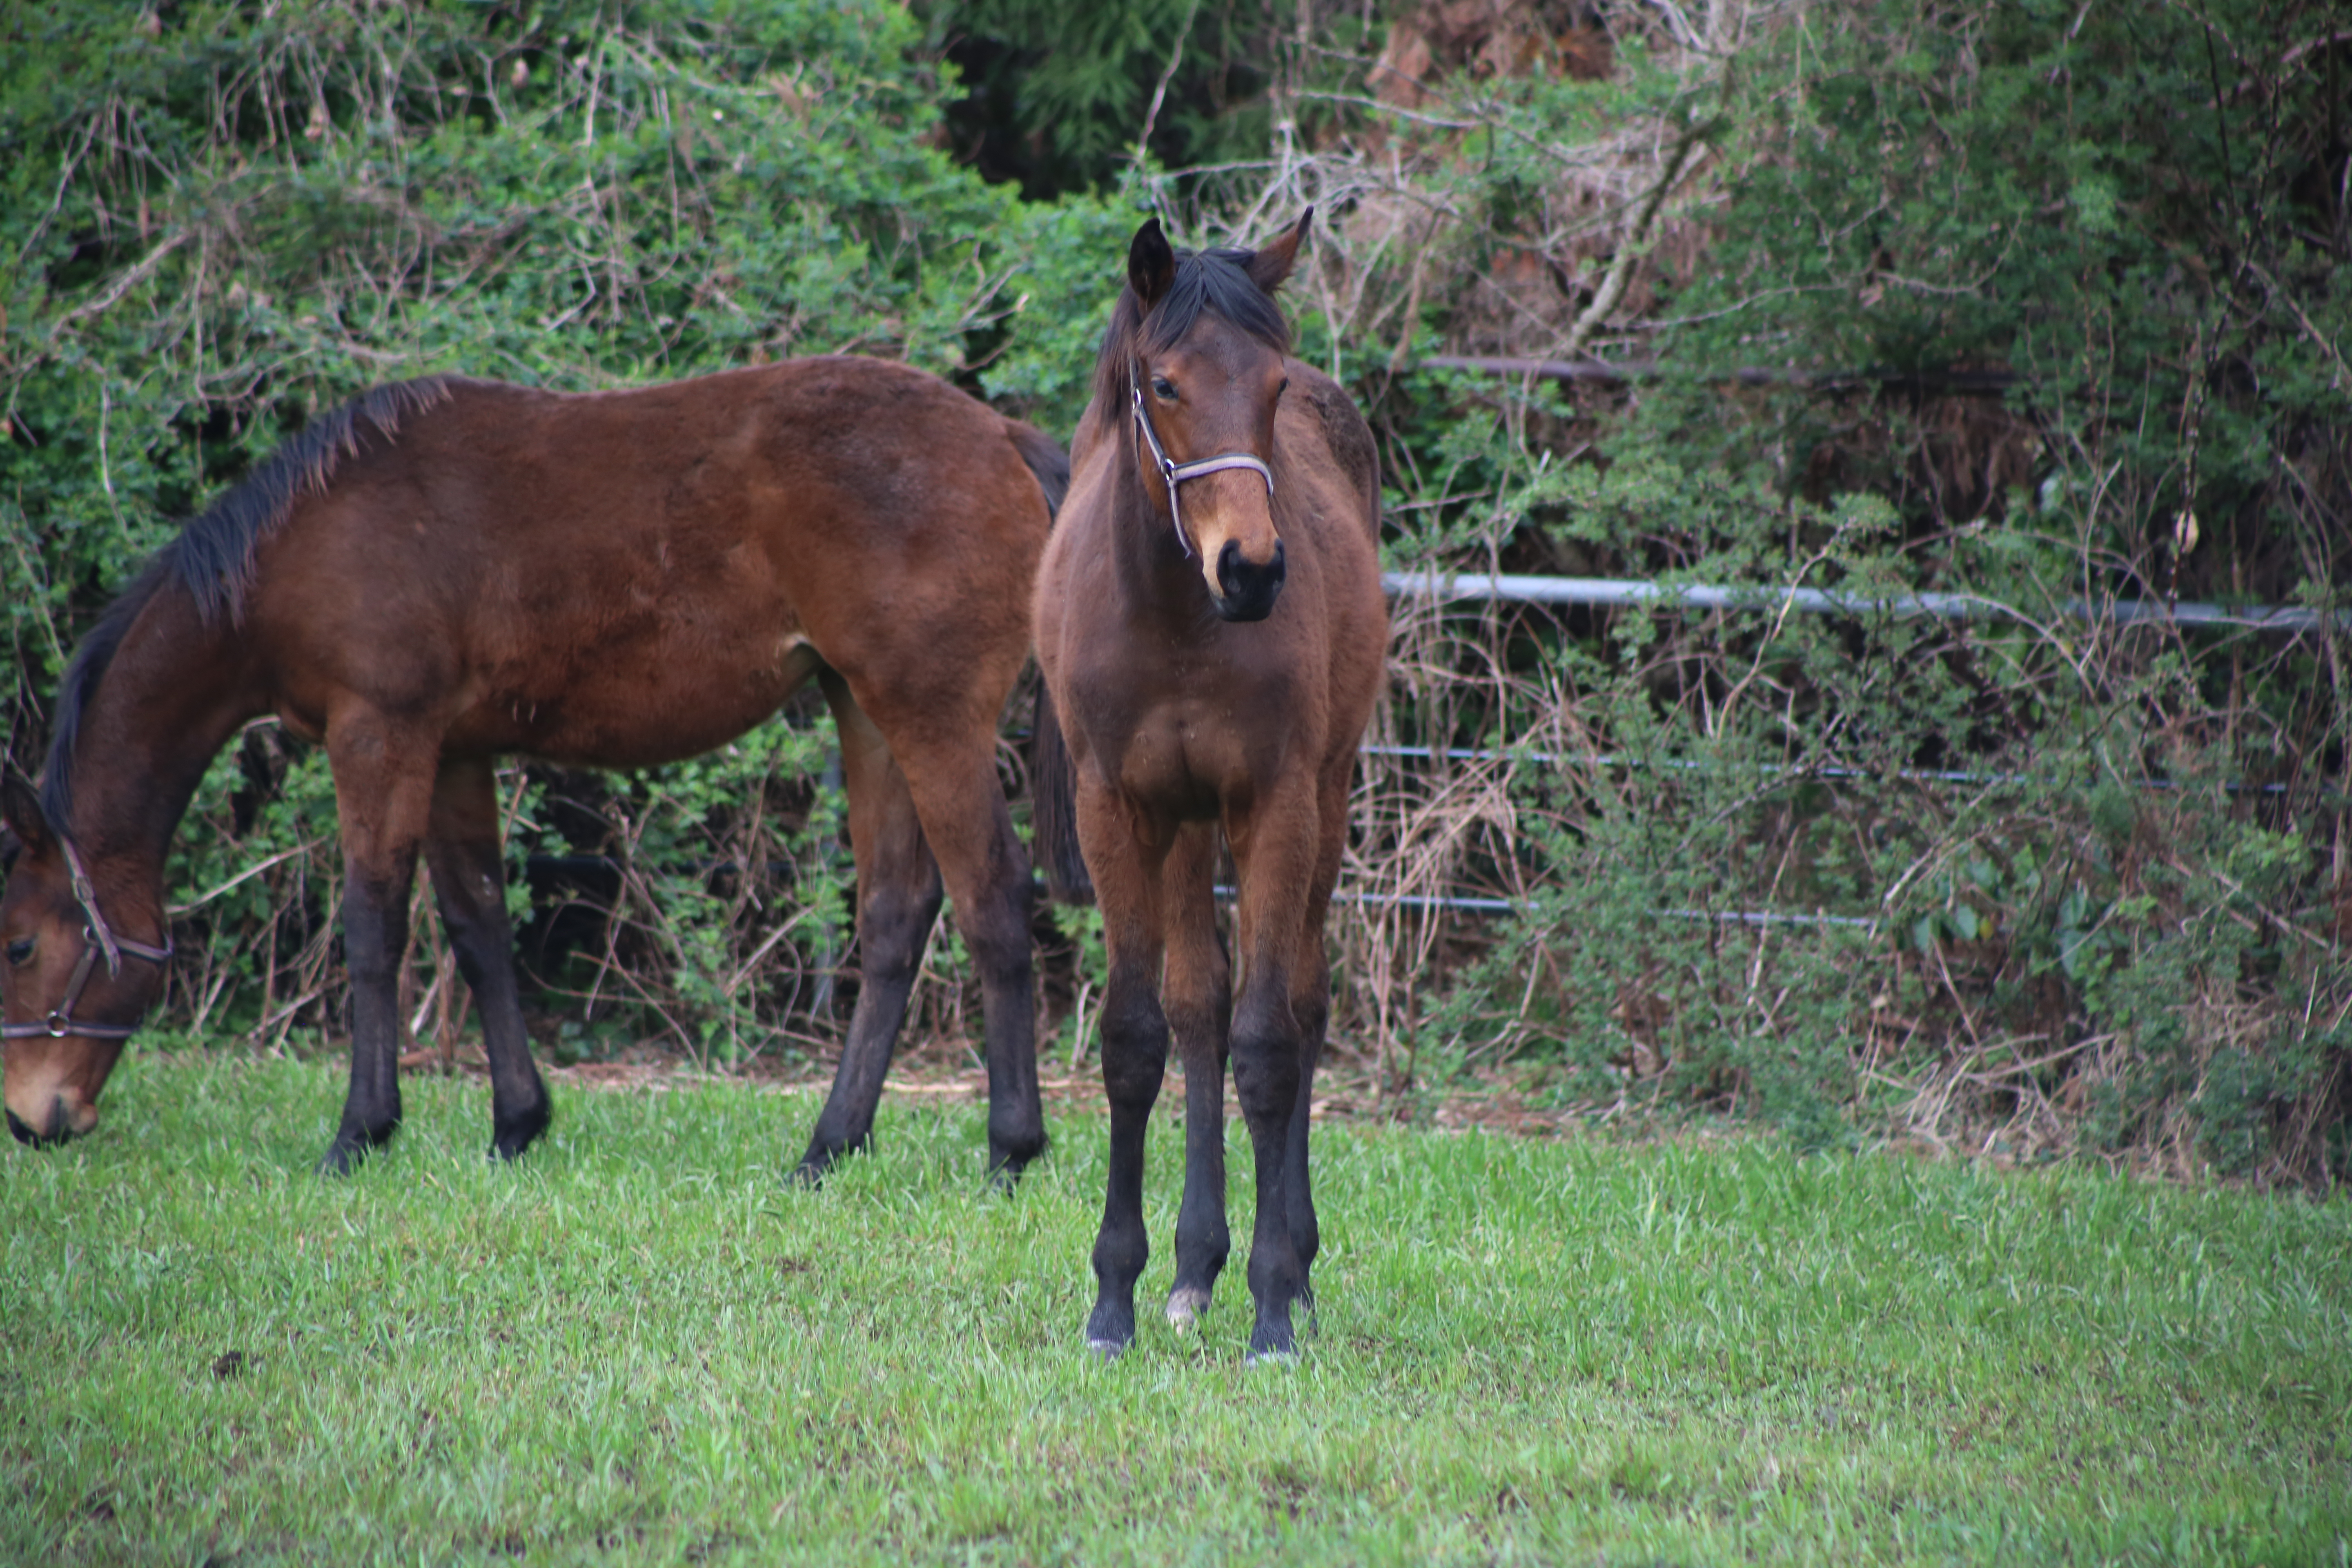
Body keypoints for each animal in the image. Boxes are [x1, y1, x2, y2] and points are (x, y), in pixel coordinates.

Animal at [0, 355, 1063, 1185]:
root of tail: (1002, 436)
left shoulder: (378, 732)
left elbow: (373, 926)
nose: (31, 1119)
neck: (310, 541)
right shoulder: (454, 751)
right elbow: (477, 926)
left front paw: (359, 1134)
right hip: (866, 711)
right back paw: (827, 1148)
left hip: (929, 718)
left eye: (17, 946)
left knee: (993, 897)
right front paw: (515, 1125)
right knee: (895, 914)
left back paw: (1009, 1149)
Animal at [1025, 215, 1373, 1363]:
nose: (1252, 570)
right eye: (1166, 384)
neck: (1174, 618)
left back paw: (1290, 1270)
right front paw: (1115, 1297)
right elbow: (1140, 1039)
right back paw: (1190, 1268)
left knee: (1299, 1001)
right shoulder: (1118, 811)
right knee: (1197, 1006)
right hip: (1181, 830)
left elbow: (1270, 1042)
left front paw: (1271, 1305)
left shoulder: (1276, 804)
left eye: (1272, 385)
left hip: (1326, 802)